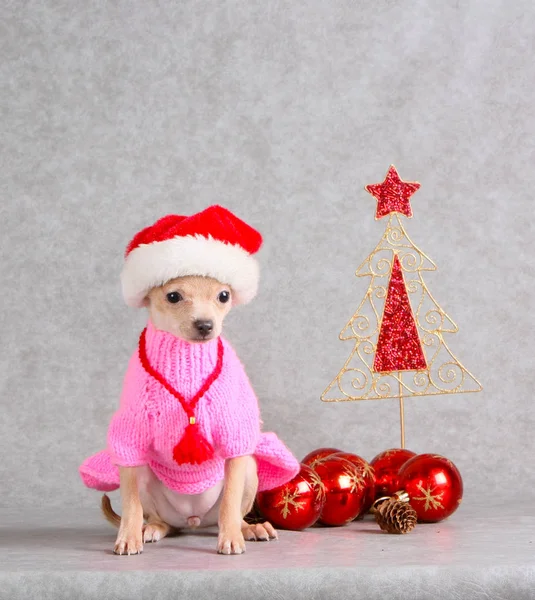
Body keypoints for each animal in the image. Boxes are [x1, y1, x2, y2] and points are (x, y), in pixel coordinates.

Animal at [101, 274, 276, 556]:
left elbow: (230, 502)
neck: (185, 360)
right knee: (159, 520)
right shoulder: (129, 441)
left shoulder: (235, 435)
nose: (205, 325)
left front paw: (231, 538)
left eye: (224, 296)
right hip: (146, 474)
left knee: (233, 512)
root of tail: (193, 520)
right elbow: (131, 504)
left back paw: (249, 528)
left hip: (249, 469)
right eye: (173, 297)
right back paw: (151, 528)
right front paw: (128, 536)